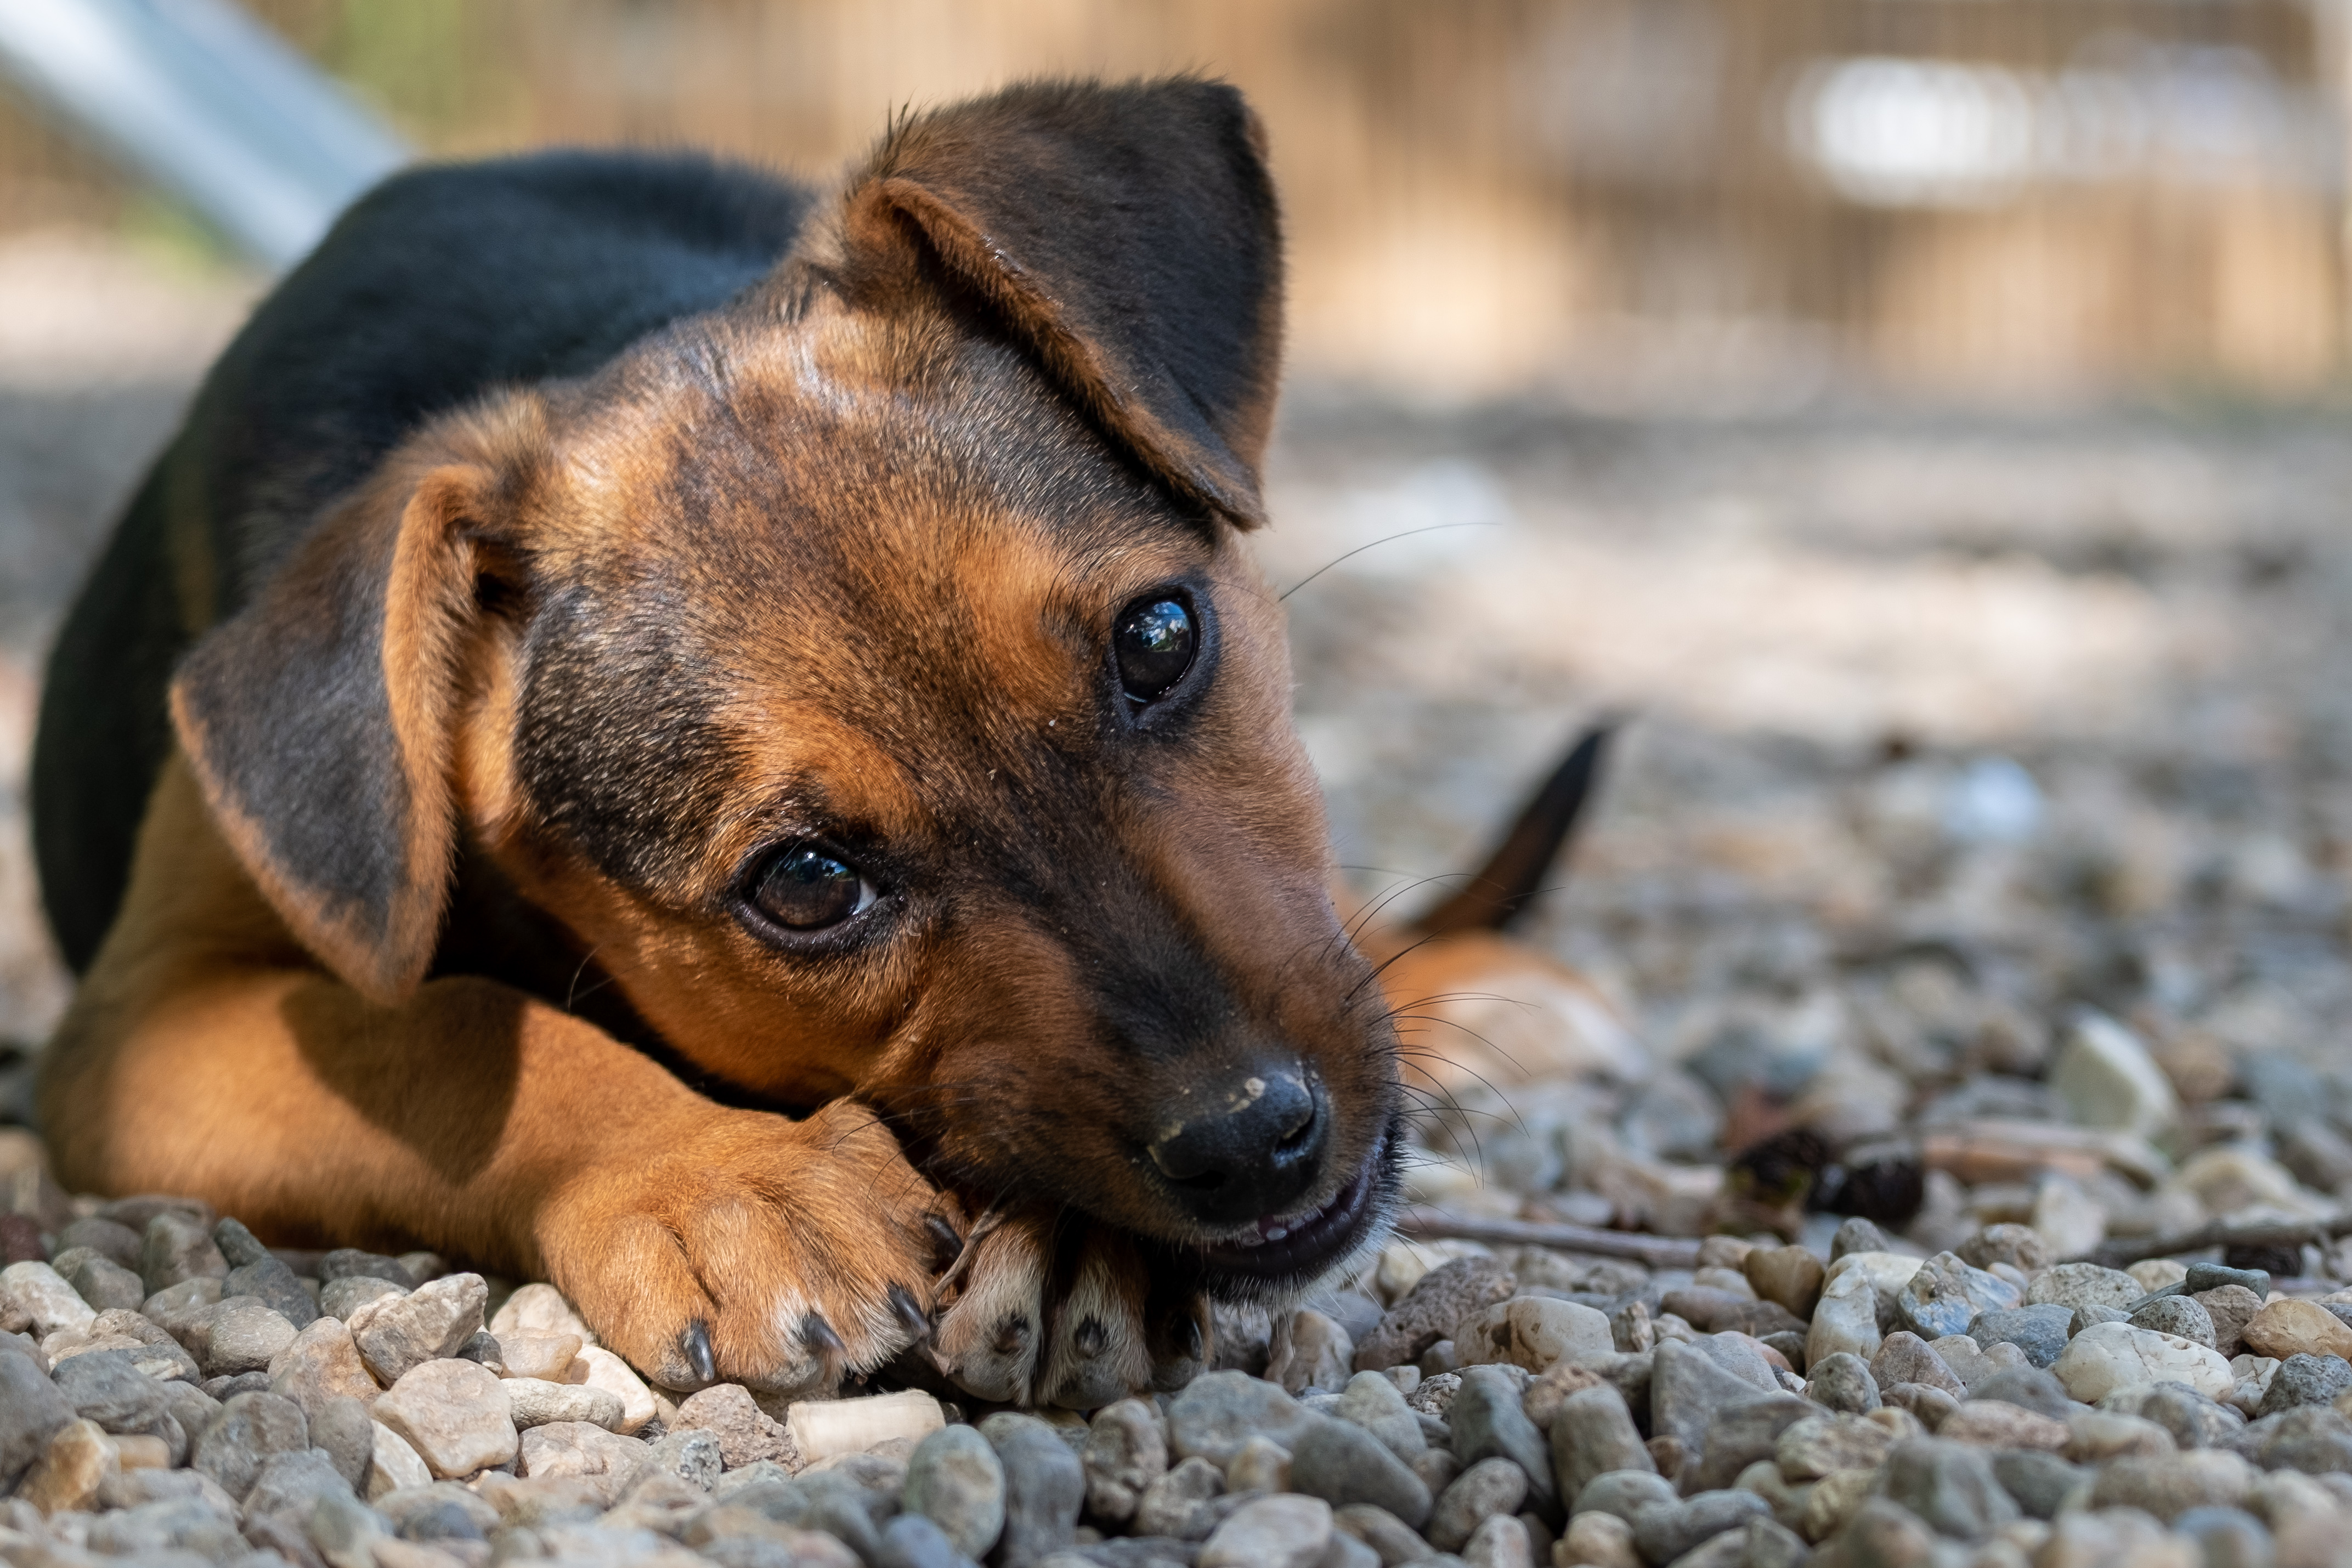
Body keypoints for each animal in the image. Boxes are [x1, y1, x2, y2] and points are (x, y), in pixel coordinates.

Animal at [32, 76, 1618, 1410]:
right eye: (804, 883)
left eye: (1161, 639)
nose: (1251, 1132)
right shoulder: (147, 1015)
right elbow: (454, 1021)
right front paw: (734, 1185)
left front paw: (1057, 1245)